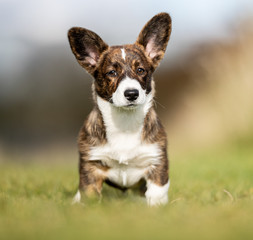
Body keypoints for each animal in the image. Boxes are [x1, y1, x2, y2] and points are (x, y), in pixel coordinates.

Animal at [68, 12, 172, 205]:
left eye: (141, 70)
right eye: (112, 73)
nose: (131, 94)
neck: (125, 122)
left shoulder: (156, 162)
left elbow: (157, 193)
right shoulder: (91, 167)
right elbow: (89, 194)